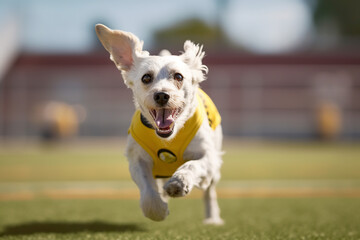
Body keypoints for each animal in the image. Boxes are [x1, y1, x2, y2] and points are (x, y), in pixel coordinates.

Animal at [94, 23, 224, 224]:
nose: (162, 95)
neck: (168, 137)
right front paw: (158, 209)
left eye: (178, 76)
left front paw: (179, 182)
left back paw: (212, 218)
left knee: (209, 191)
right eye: (146, 78)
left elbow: (193, 165)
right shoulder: (137, 159)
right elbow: (148, 191)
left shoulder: (209, 157)